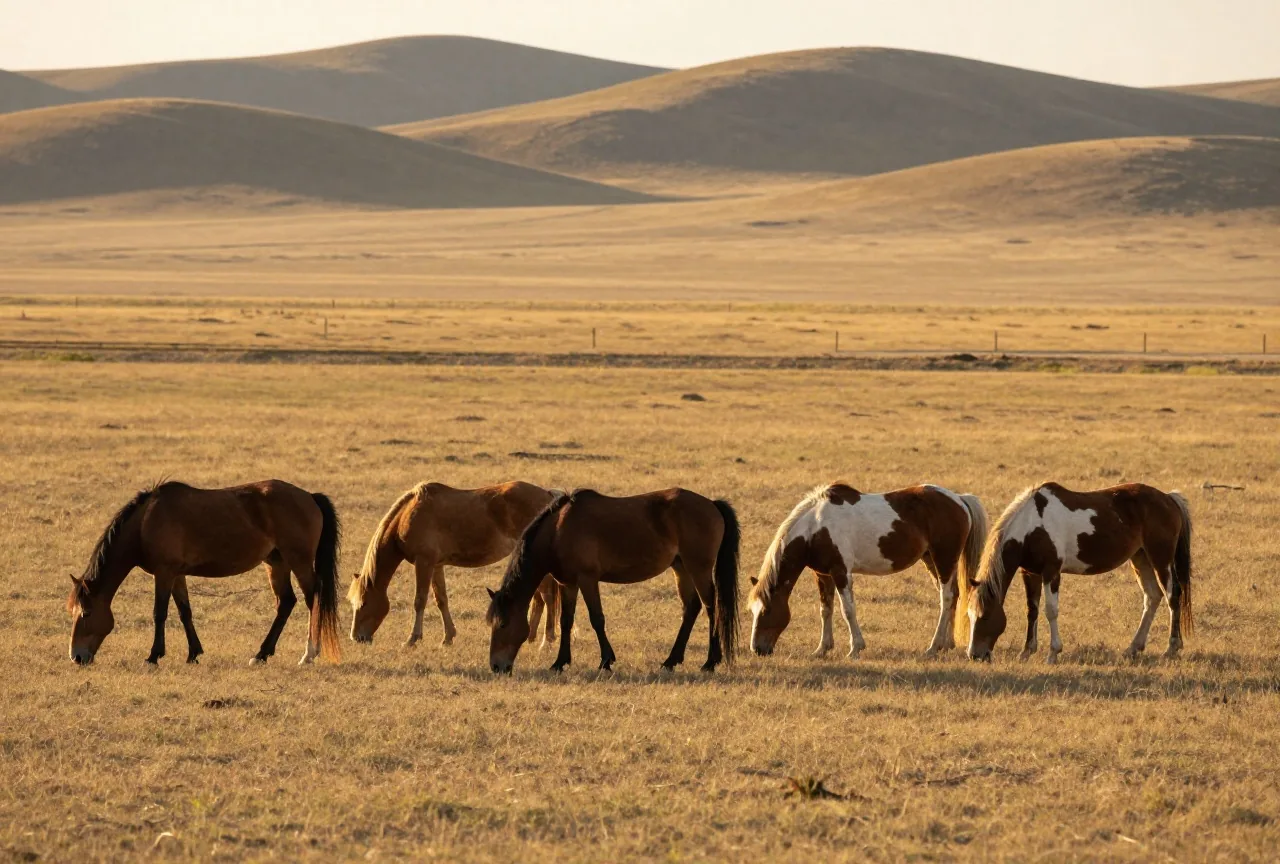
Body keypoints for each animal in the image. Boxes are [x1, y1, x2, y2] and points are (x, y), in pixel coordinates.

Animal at [66, 480, 341, 666]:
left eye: (86, 613)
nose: (76, 656)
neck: (145, 524)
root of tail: (309, 496)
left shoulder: (164, 573)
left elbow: (159, 613)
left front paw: (153, 656)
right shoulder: (177, 575)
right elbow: (184, 612)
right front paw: (193, 654)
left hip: (299, 562)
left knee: (312, 599)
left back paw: (309, 654)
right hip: (276, 563)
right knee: (286, 603)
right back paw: (261, 654)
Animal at [348, 481, 563, 647]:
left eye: (363, 603)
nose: (356, 637)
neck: (407, 516)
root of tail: (548, 496)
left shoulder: (424, 562)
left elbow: (420, 600)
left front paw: (412, 639)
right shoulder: (436, 565)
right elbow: (441, 599)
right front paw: (448, 638)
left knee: (547, 596)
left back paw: (546, 641)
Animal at [485, 488, 740, 675]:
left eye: (503, 624)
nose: (496, 666)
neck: (558, 531)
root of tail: (711, 504)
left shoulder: (588, 579)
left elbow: (597, 619)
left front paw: (606, 660)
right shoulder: (568, 584)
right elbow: (566, 621)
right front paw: (559, 662)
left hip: (699, 568)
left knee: (711, 607)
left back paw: (710, 662)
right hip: (681, 568)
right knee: (691, 608)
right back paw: (671, 660)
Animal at [748, 483, 988, 659]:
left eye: (766, 611)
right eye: (753, 611)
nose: (757, 649)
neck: (815, 528)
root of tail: (959, 499)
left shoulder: (841, 572)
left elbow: (847, 609)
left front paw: (855, 648)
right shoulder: (823, 574)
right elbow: (826, 609)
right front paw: (822, 648)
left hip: (944, 559)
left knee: (946, 598)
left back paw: (933, 647)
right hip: (931, 560)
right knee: (954, 596)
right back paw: (947, 644)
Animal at [961, 482, 1193, 663]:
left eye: (984, 616)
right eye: (969, 616)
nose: (975, 655)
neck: (1032, 525)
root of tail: (1168, 498)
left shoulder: (1051, 572)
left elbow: (1050, 611)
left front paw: (1053, 653)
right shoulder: (1030, 572)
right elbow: (1032, 610)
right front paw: (1027, 651)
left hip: (1160, 558)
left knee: (1172, 596)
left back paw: (1172, 648)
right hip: (1140, 557)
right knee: (1152, 596)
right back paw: (1133, 648)